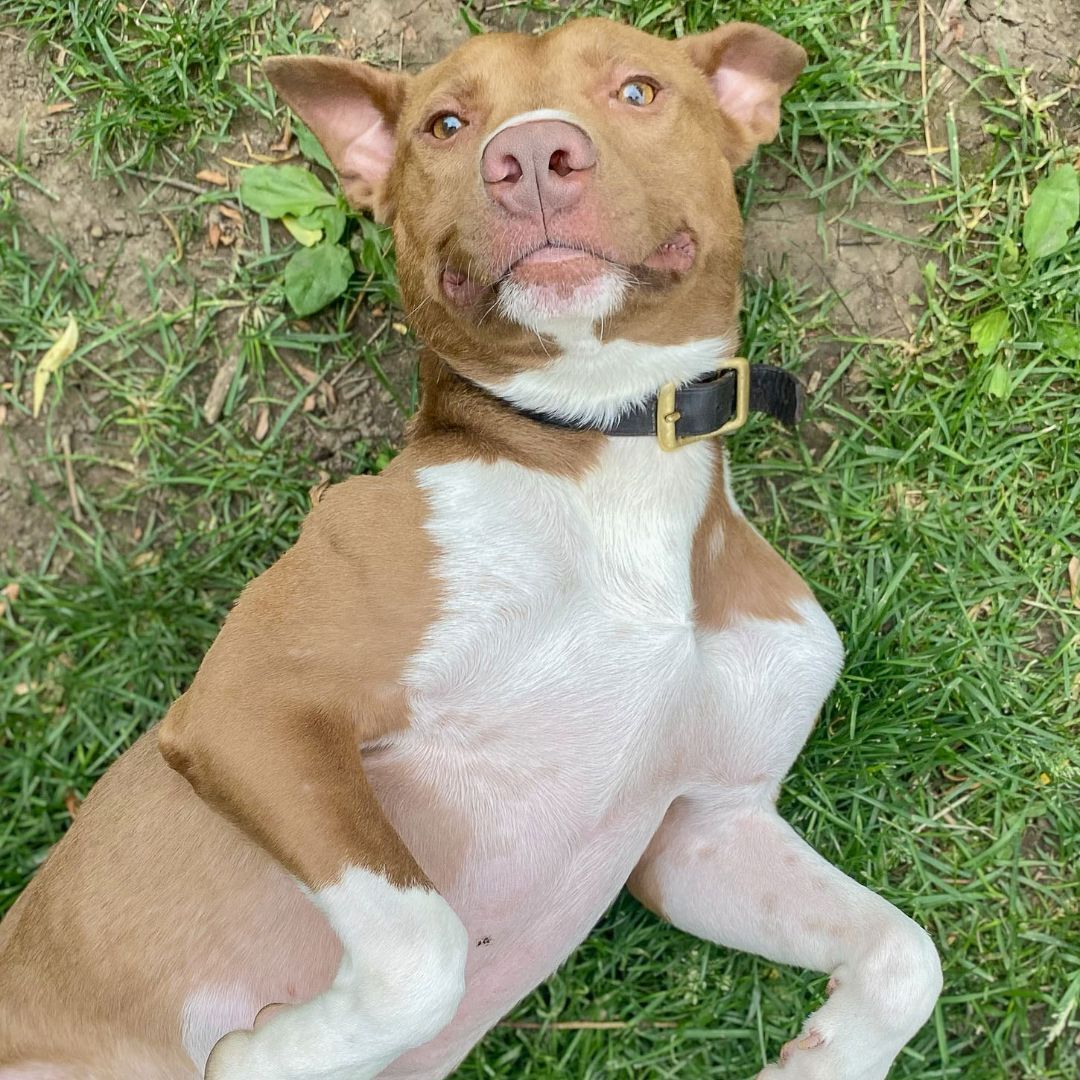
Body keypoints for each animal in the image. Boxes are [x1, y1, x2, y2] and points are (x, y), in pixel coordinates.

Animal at [0, 16, 941, 1080]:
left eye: (638, 90)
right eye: (445, 124)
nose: (529, 155)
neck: (607, 459)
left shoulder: (705, 831)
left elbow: (910, 954)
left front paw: (828, 1057)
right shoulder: (253, 705)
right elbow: (425, 948)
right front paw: (267, 1055)